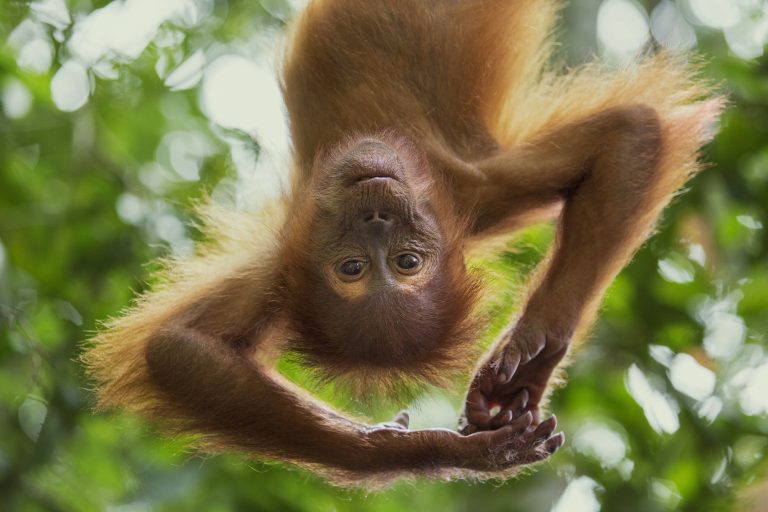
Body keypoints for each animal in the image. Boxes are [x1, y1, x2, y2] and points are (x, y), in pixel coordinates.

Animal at [82, 0, 723, 487]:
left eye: (407, 262)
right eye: (353, 269)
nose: (374, 215)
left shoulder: (472, 193)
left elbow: (630, 135)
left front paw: (529, 359)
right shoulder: (288, 260)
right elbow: (177, 352)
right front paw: (416, 449)